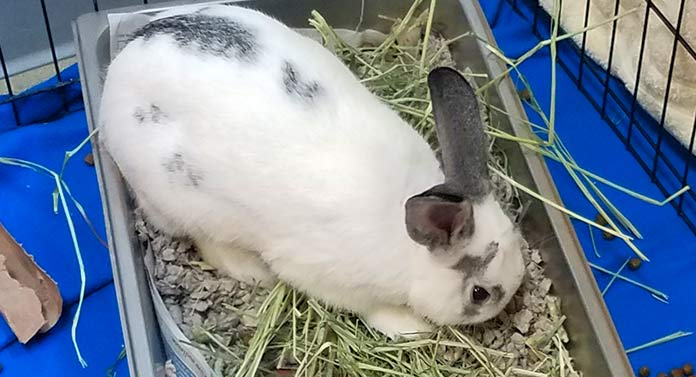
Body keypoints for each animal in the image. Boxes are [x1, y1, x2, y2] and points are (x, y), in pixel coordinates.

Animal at [99, 3, 528, 338]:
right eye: (479, 294)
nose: (507, 304)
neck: (409, 247)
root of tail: (120, 64)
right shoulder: (331, 282)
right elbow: (373, 310)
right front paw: (412, 328)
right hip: (182, 202)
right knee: (206, 240)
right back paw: (253, 271)